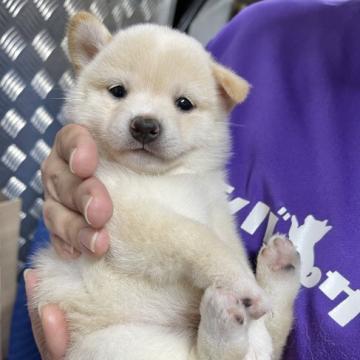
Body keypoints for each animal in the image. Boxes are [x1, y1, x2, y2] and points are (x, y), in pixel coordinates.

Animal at [33, 11, 300, 360]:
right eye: (117, 91)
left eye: (183, 103)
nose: (145, 125)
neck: (166, 178)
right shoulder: (126, 215)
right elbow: (199, 239)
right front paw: (242, 286)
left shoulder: (217, 215)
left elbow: (229, 248)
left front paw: (254, 327)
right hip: (116, 343)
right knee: (205, 355)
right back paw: (226, 315)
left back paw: (276, 272)